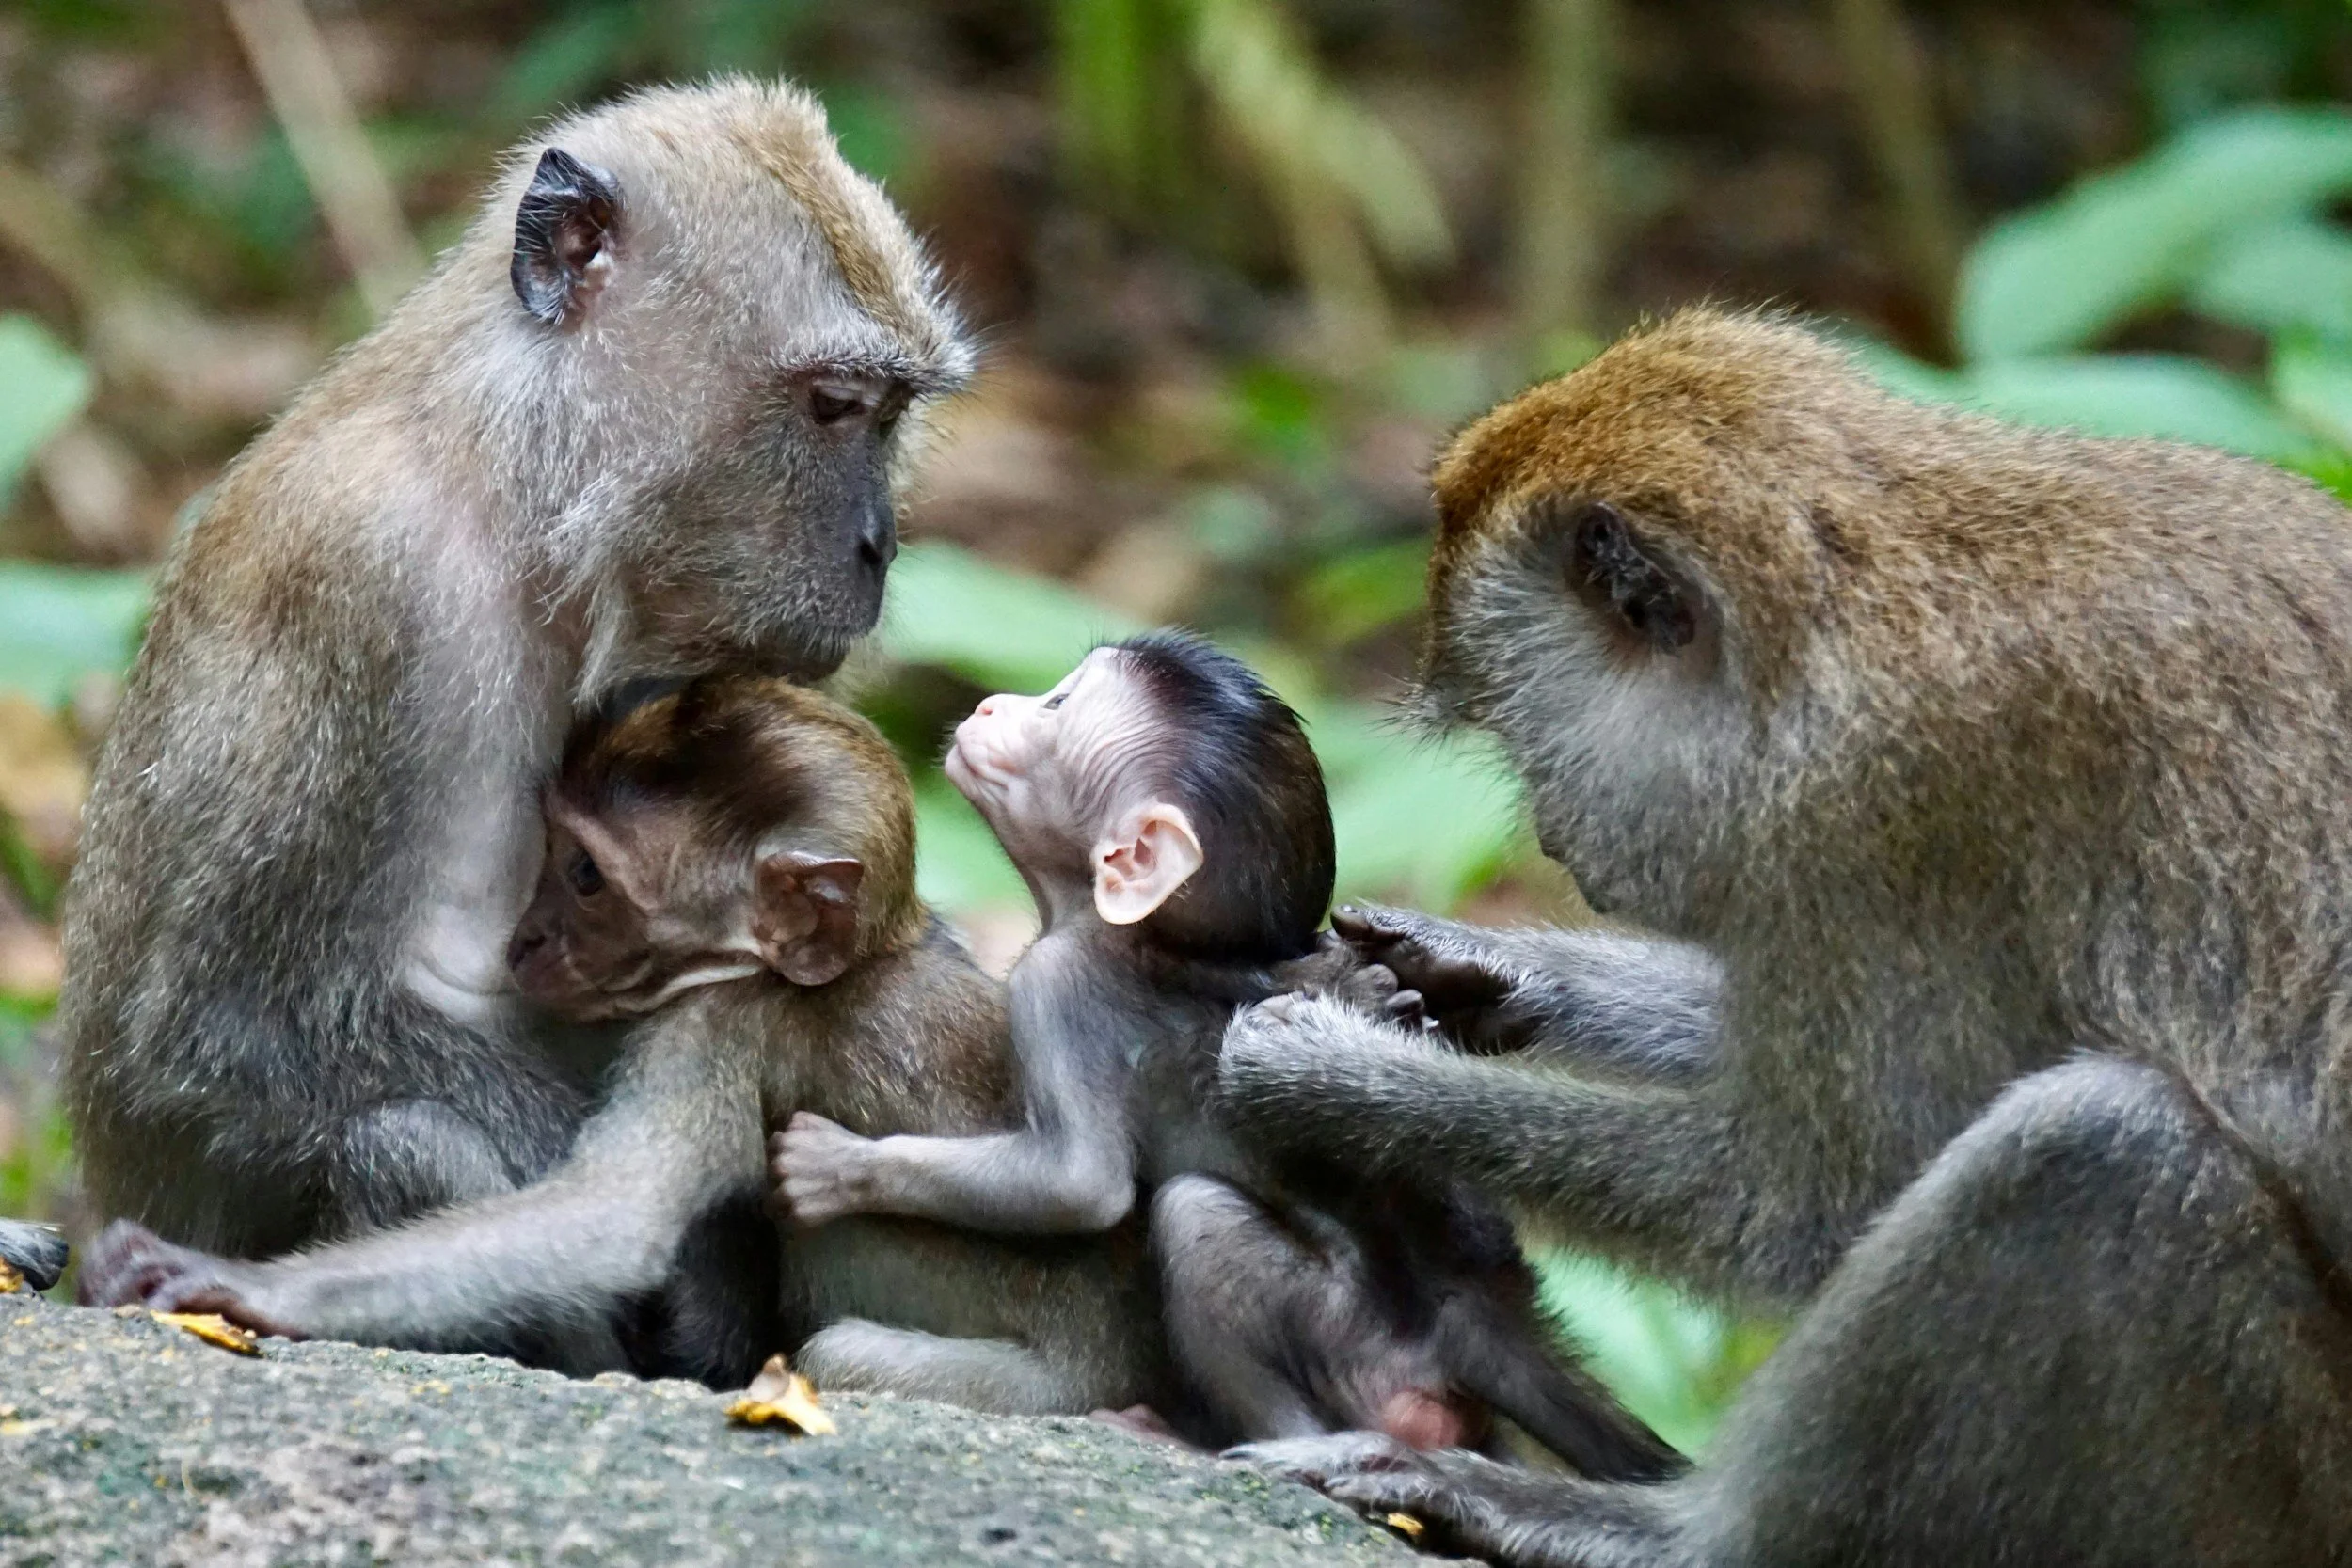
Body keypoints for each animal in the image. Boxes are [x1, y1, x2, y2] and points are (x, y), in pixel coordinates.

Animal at [61, 78, 973, 1344]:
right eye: (834, 406)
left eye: (890, 416)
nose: (878, 546)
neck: (509, 485)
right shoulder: (362, 573)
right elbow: (218, 1031)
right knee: (408, 1139)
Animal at [74, 676, 1163, 1408]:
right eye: (553, 848)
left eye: (589, 876)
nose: (524, 937)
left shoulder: (715, 1032)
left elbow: (614, 1217)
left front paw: (246, 1286)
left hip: (1036, 1388)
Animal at [771, 631, 1680, 1477]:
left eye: (1058, 707)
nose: (991, 705)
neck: (1143, 936)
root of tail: (1467, 1315)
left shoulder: (1054, 984)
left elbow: (1078, 1184)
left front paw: (839, 1166)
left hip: (1355, 1346)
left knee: (1194, 1216)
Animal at [1209, 307, 2352, 1566]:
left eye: (1516, 732)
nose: (1553, 830)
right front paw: (1485, 970)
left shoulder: (1885, 810)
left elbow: (1810, 1201)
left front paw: (1335, 1079)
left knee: (2098, 1146)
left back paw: (1669, 1536)